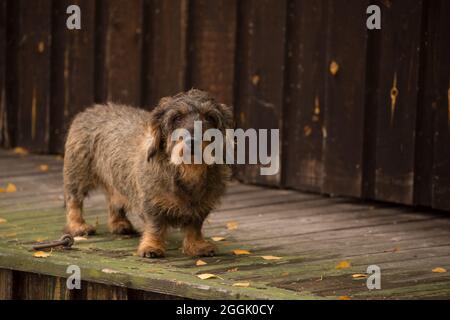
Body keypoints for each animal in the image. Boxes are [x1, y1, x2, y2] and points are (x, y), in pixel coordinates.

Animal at [64, 89, 232, 258]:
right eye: (176, 117)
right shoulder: (151, 203)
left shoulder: (202, 206)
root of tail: (91, 110)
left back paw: (119, 223)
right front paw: (152, 247)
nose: (193, 141)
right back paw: (78, 226)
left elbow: (195, 227)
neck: (187, 172)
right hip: (78, 173)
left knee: (114, 200)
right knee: (74, 200)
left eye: (210, 117)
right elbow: (155, 226)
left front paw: (197, 246)